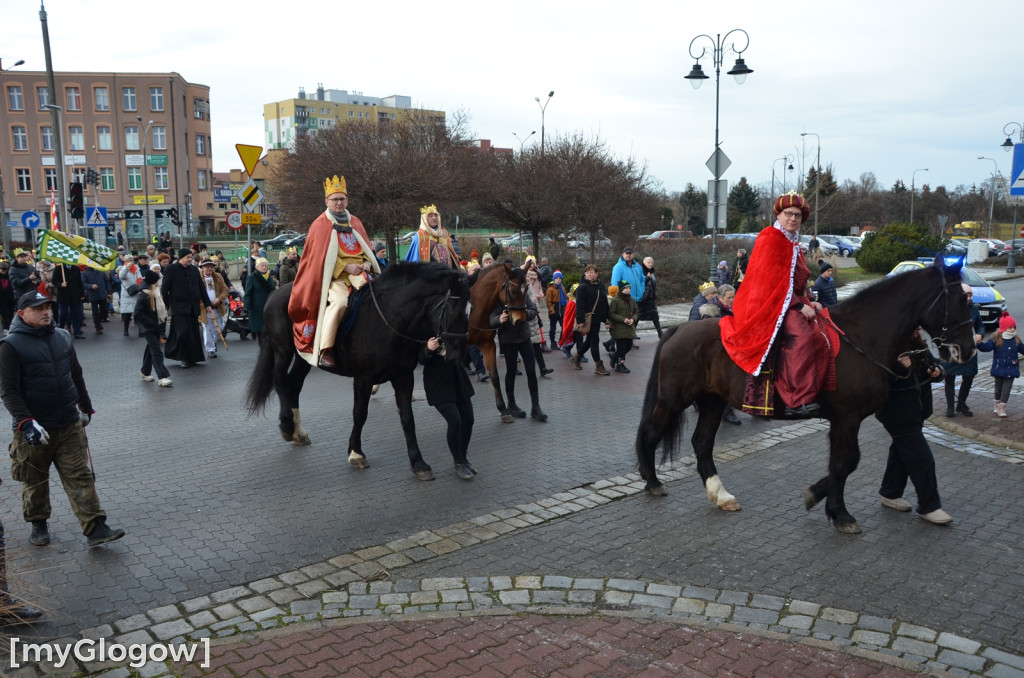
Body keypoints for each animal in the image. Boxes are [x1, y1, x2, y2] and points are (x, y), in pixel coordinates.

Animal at [247, 262, 471, 481]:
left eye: (470, 310)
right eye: (453, 311)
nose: (458, 355)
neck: (389, 319)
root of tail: (276, 293)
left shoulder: (404, 377)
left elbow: (408, 418)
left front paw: (419, 463)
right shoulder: (363, 379)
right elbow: (359, 414)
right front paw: (356, 453)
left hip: (305, 357)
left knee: (294, 385)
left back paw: (298, 432)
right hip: (283, 349)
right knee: (280, 381)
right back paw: (286, 426)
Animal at [466, 262, 524, 421]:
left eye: (526, 289)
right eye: (513, 291)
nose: (520, 320)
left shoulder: (487, 345)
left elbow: (495, 377)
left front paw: (503, 409)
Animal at [630, 258, 974, 532]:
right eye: (961, 298)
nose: (968, 349)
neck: (861, 338)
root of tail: (679, 329)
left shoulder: (842, 420)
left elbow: (842, 464)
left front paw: (824, 501)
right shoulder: (847, 418)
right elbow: (845, 463)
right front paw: (839, 513)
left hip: (713, 402)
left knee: (701, 444)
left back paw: (721, 494)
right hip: (673, 400)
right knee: (650, 433)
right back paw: (653, 481)